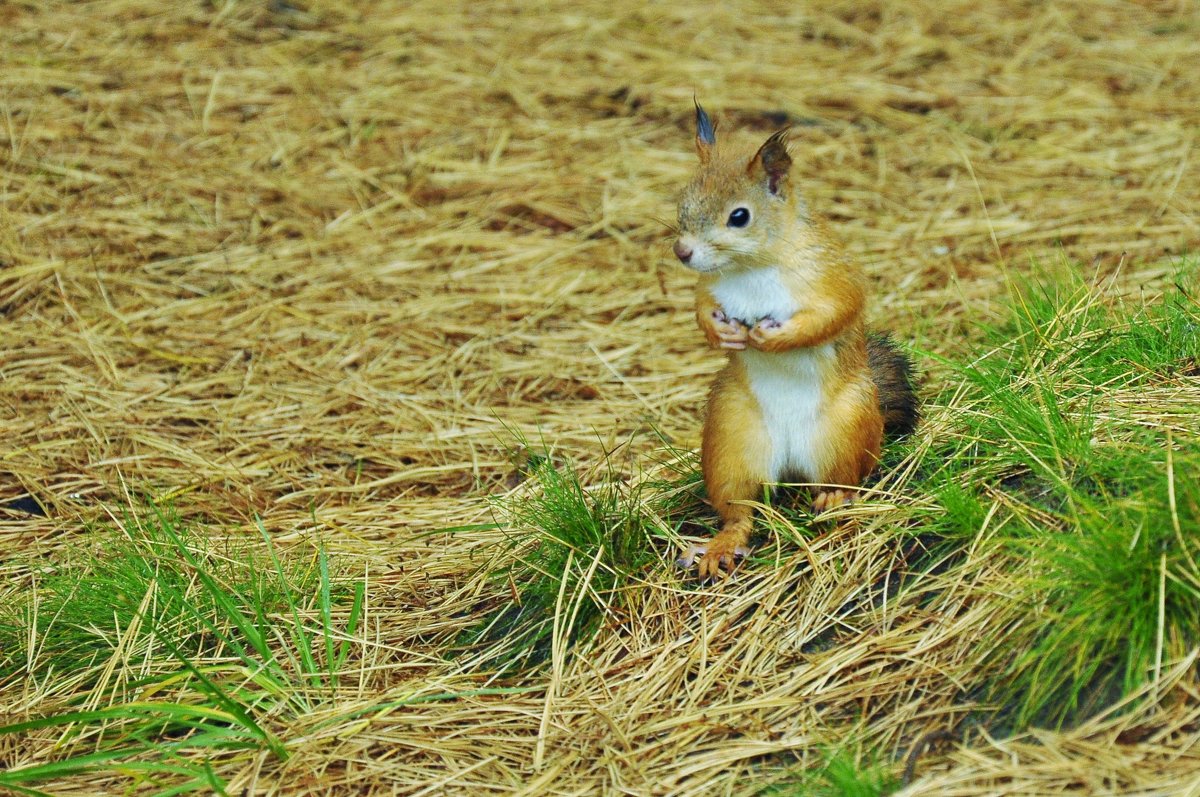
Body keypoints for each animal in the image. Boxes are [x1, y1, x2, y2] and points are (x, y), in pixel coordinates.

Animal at [667, 104, 916, 578]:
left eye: (739, 216)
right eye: (681, 201)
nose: (682, 253)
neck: (752, 267)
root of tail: (792, 465)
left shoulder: (831, 274)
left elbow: (836, 311)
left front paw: (774, 338)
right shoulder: (711, 287)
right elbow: (702, 308)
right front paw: (721, 332)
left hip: (847, 427)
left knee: (846, 478)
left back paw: (835, 499)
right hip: (730, 437)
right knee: (740, 508)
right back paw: (722, 545)